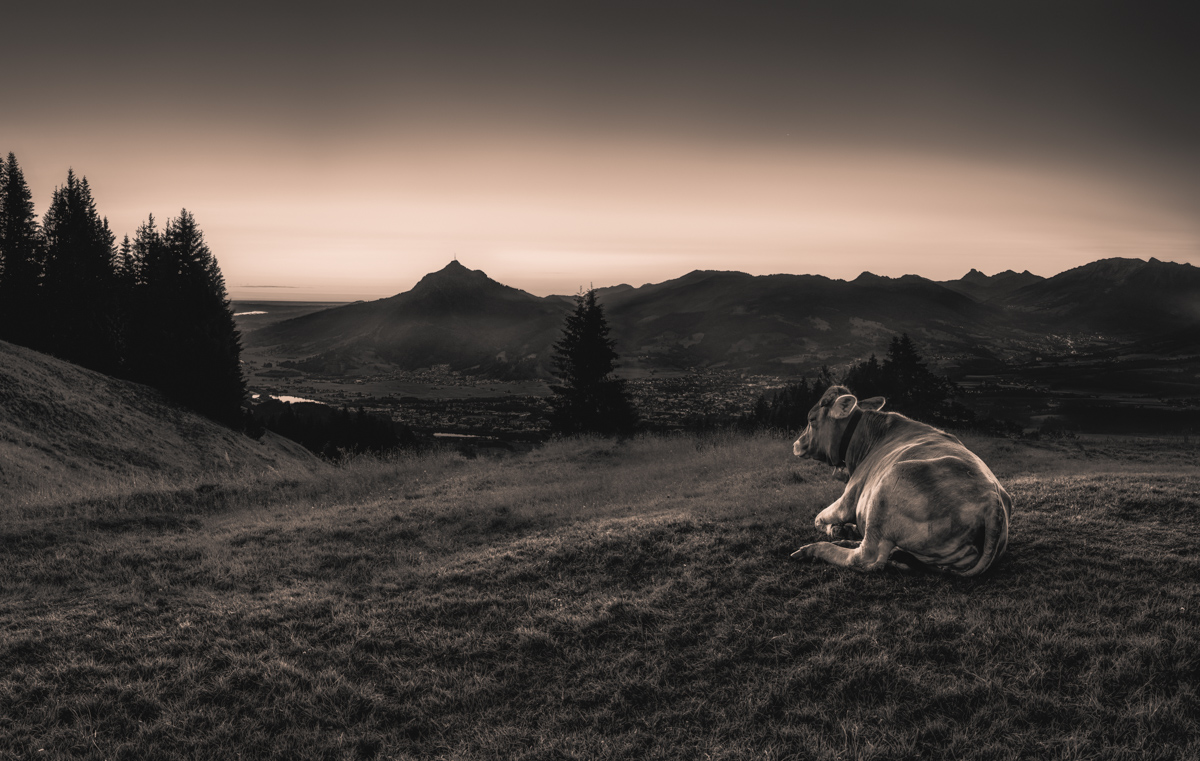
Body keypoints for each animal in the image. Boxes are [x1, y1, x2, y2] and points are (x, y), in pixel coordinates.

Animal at [790, 385, 1011, 576]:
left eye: (811, 419)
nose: (796, 444)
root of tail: (993, 501)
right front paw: (845, 530)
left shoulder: (849, 497)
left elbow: (818, 518)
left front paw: (836, 529)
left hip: (887, 487)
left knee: (866, 558)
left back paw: (814, 549)